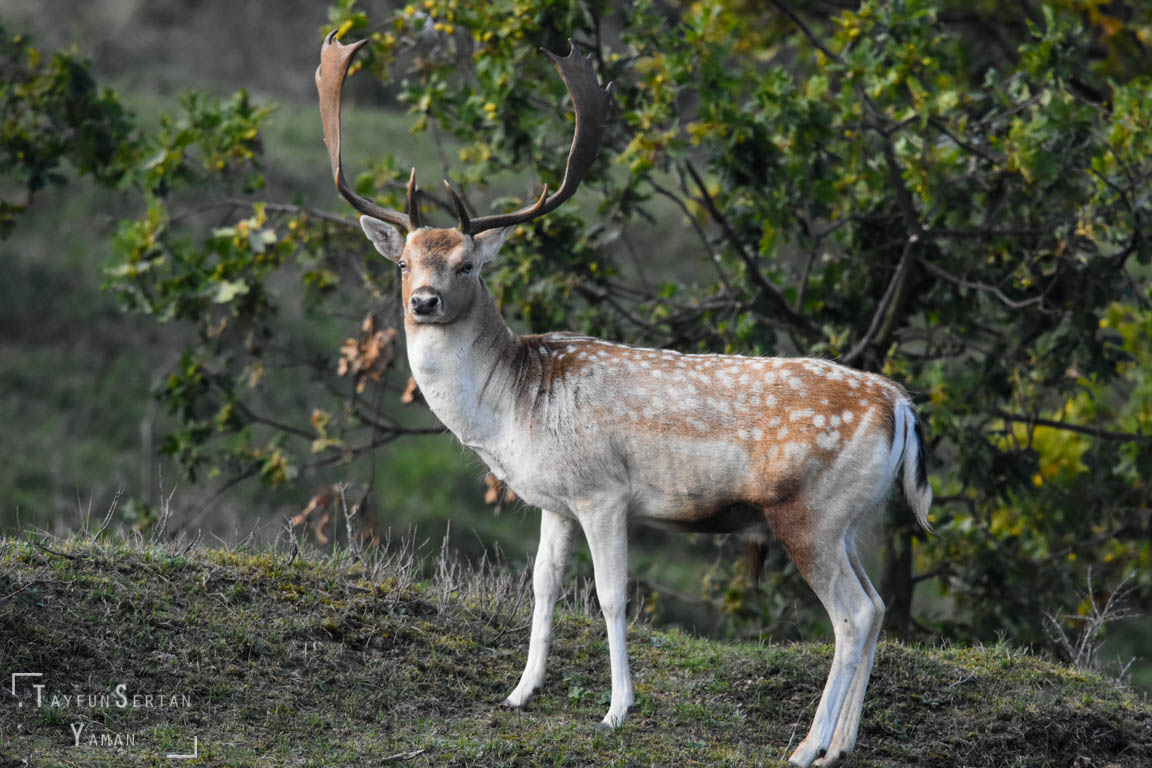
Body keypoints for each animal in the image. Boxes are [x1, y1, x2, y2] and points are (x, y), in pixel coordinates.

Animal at [316, 31, 932, 767]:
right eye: (404, 262)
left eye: (468, 264)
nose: (424, 301)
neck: (511, 407)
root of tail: (901, 405)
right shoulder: (554, 499)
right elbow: (544, 583)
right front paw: (520, 693)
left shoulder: (602, 489)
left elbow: (611, 596)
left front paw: (616, 710)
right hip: (854, 517)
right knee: (876, 608)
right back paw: (840, 745)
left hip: (806, 510)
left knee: (853, 613)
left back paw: (808, 746)